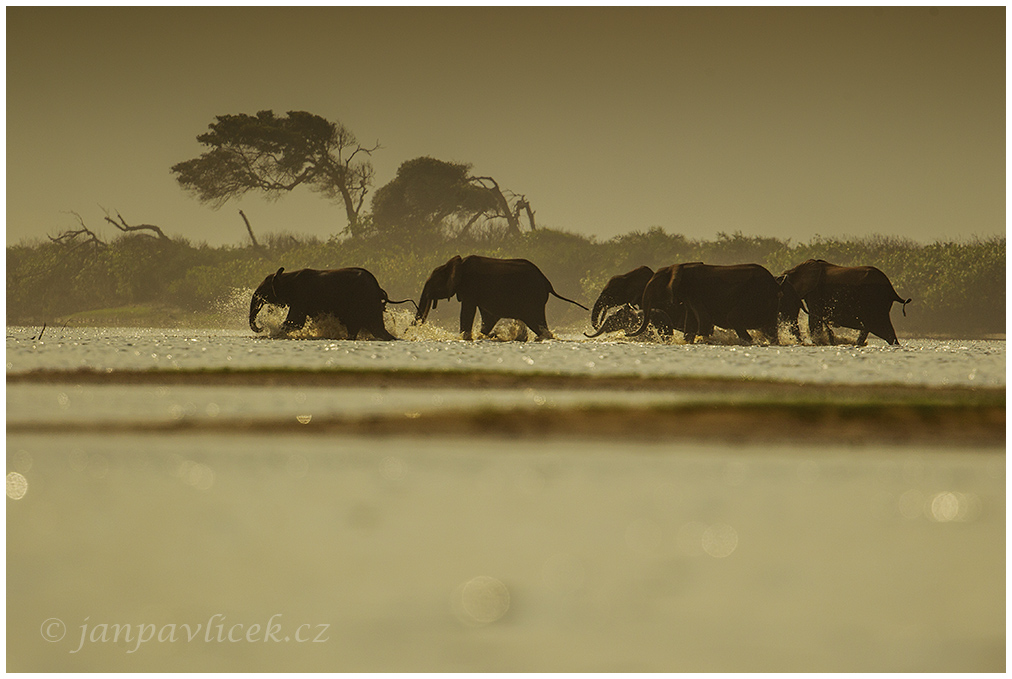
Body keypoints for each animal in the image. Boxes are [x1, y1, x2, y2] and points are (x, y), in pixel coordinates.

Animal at [250, 265, 412, 340]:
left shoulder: (301, 296)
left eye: (265, 290)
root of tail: (379, 289)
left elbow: (295, 322)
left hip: (363, 302)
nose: (261, 327)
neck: (287, 275)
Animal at [623, 261, 781, 346]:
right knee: (770, 330)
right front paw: (689, 342)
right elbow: (690, 323)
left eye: (654, 285)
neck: (678, 267)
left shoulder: (695, 292)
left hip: (755, 297)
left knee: (734, 318)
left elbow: (704, 319)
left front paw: (704, 341)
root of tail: (775, 285)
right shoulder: (689, 297)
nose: (626, 334)